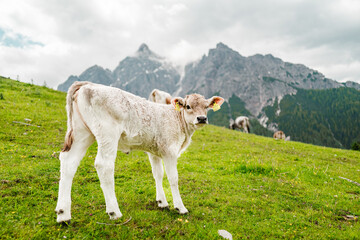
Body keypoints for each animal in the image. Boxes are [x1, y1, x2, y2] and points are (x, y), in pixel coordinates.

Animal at [54, 81, 224, 223]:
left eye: (206, 107)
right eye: (188, 106)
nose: (201, 118)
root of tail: (87, 84)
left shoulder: (154, 152)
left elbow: (158, 174)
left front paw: (162, 202)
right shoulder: (169, 151)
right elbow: (173, 178)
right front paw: (180, 207)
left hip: (82, 133)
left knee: (69, 161)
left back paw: (63, 214)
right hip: (107, 134)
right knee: (103, 165)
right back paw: (114, 212)